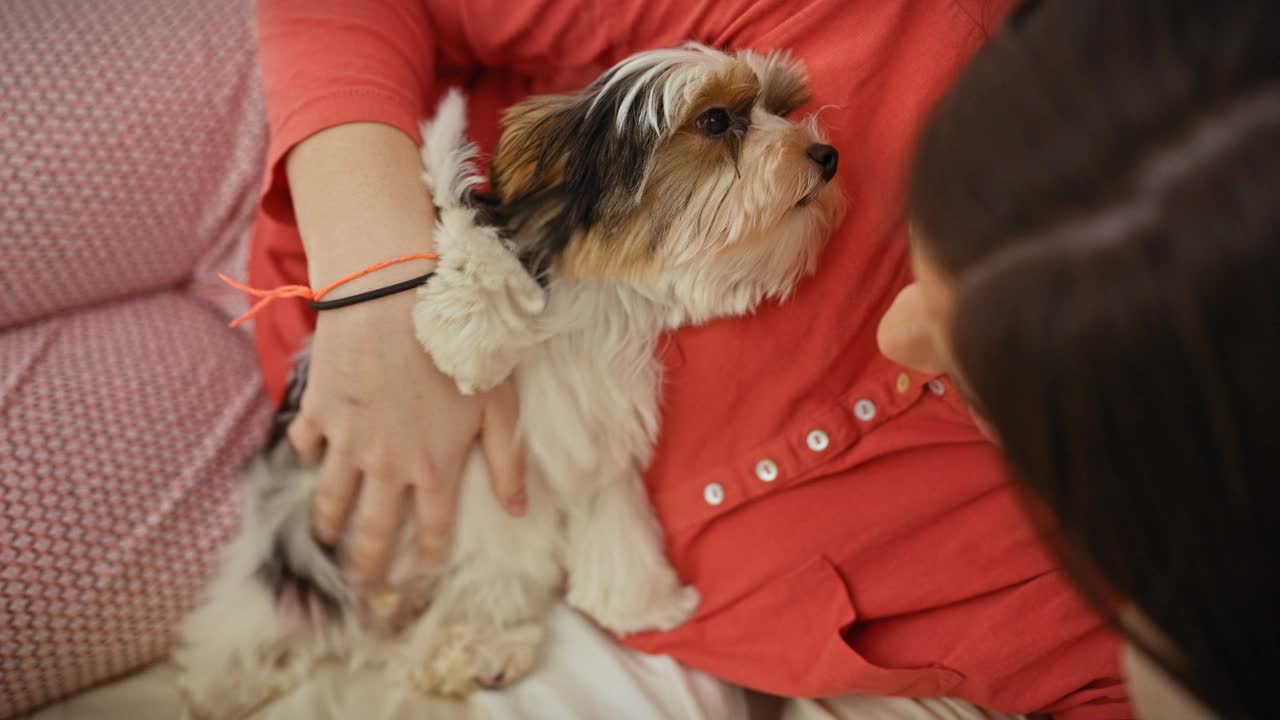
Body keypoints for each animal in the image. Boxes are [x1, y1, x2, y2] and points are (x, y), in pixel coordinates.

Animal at [175, 41, 844, 712]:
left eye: (783, 107)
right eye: (714, 121)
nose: (827, 155)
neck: (596, 293)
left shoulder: (596, 437)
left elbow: (616, 515)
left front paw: (642, 600)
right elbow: (462, 217)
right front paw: (467, 337)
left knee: (458, 608)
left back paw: (467, 650)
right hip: (298, 540)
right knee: (253, 624)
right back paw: (227, 682)